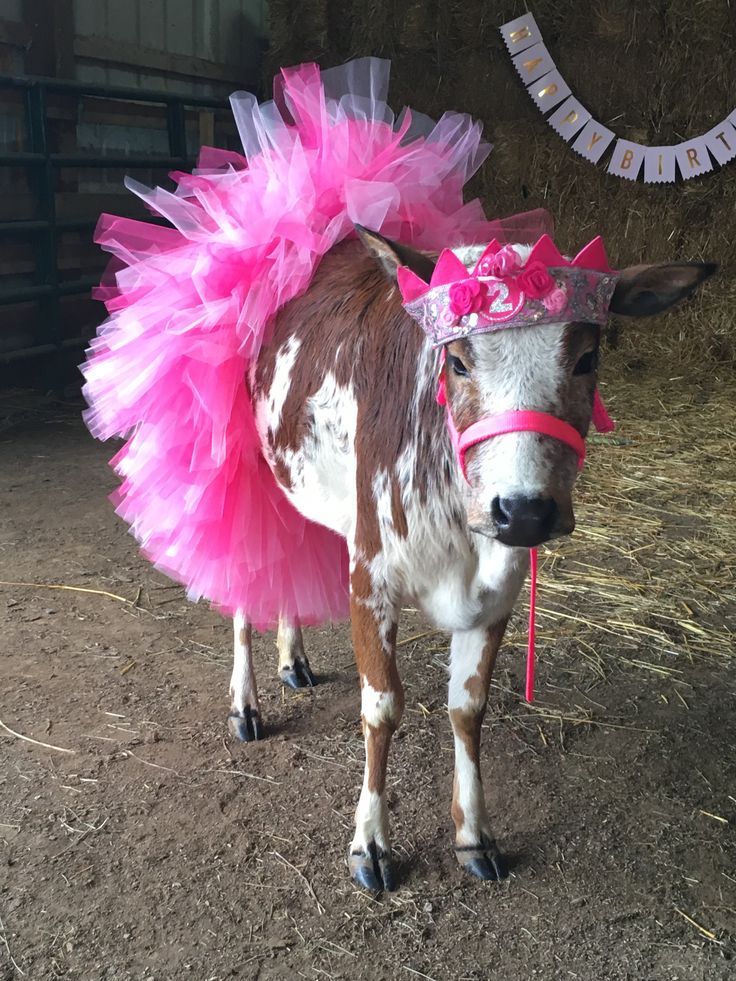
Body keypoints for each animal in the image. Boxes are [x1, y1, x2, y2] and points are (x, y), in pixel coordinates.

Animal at [226, 234, 712, 892]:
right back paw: (245, 704)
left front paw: (474, 834)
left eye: (587, 359)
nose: (524, 509)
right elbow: (381, 708)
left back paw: (292, 658)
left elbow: (468, 706)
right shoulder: (371, 572)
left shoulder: (499, 585)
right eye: (456, 361)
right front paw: (370, 843)